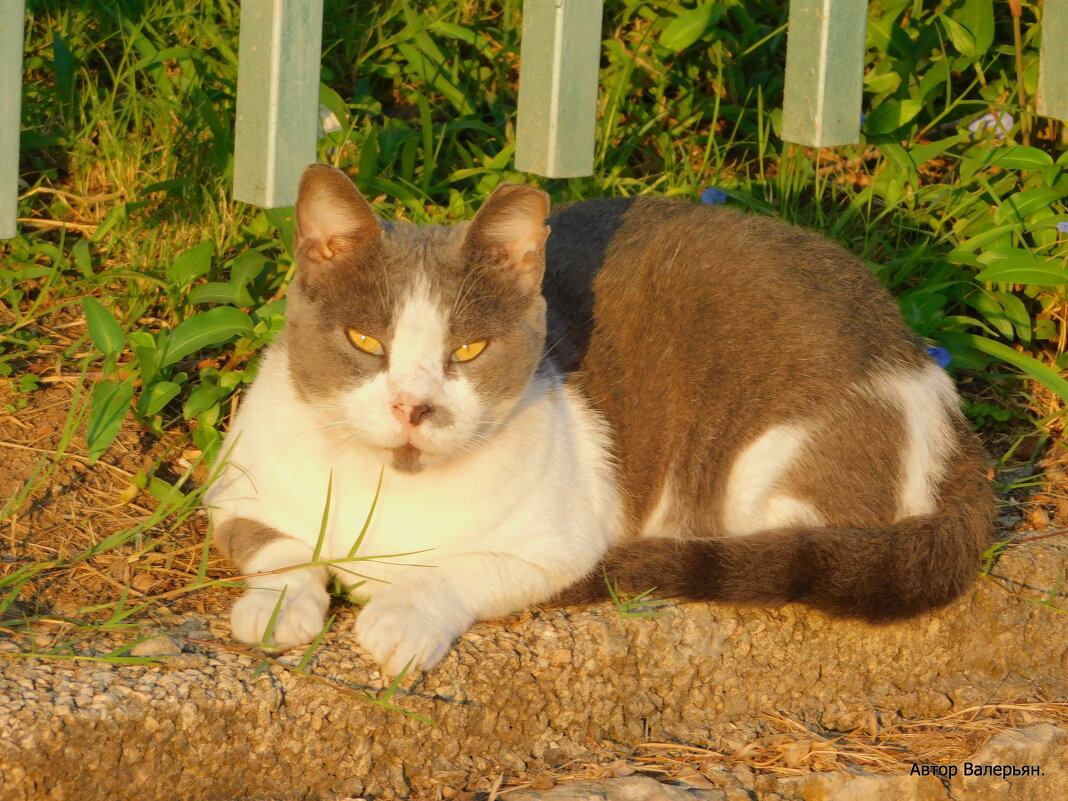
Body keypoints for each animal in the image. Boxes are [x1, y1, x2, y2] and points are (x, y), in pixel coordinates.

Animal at [206, 163, 991, 679]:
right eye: (366, 340)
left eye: (469, 350)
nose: (412, 406)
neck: (388, 489)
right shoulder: (235, 482)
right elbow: (275, 544)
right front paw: (277, 606)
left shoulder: (557, 542)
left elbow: (465, 568)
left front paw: (400, 615)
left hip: (773, 462)